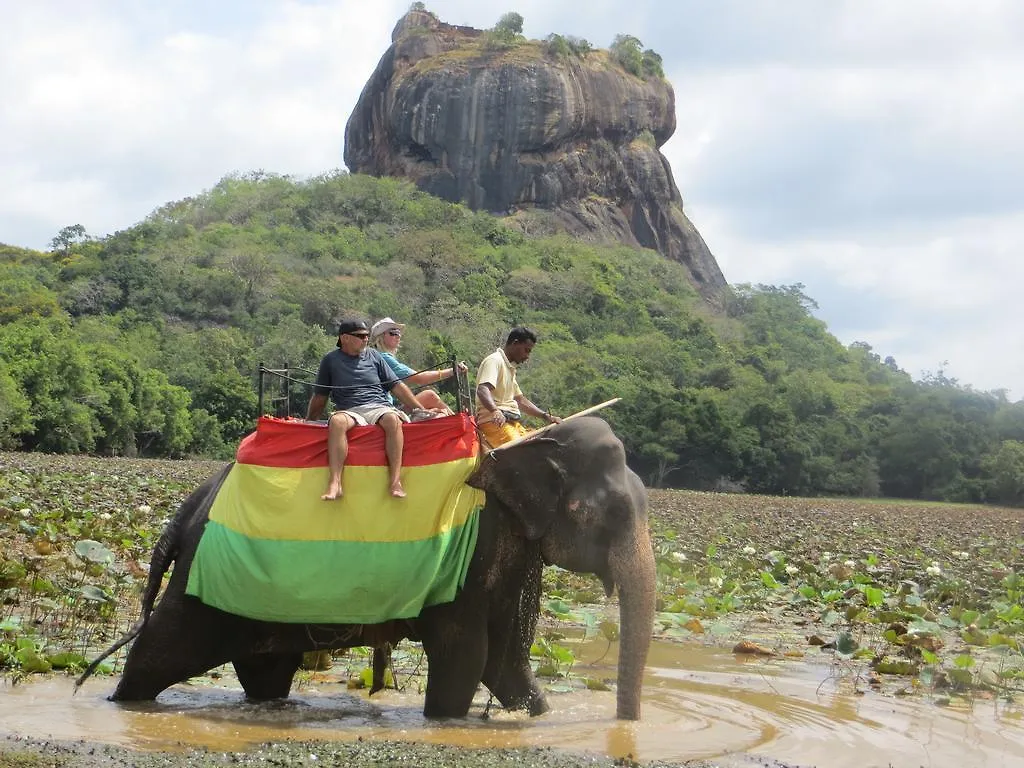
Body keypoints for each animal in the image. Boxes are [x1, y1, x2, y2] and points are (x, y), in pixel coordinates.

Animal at [77, 417, 655, 720]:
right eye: (614, 515)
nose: (625, 725)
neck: (523, 444)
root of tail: (188, 506)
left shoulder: (510, 547)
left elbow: (506, 661)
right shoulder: (476, 547)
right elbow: (466, 654)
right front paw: (446, 721)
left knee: (266, 672)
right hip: (201, 586)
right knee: (158, 653)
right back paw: (121, 704)